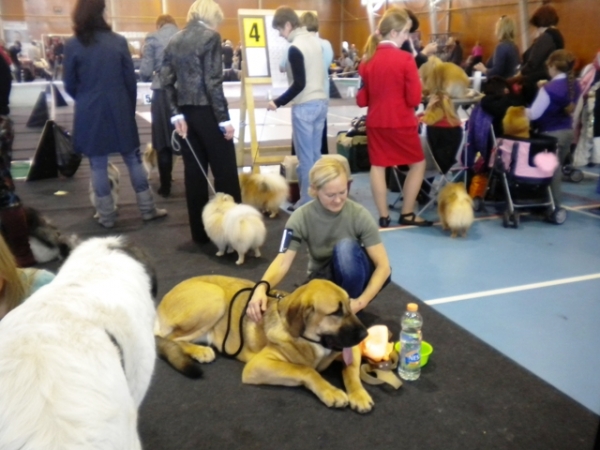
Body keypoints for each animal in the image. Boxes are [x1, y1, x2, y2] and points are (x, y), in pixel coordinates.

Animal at [154, 272, 376, 414]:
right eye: (336, 312)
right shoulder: (258, 365)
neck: (311, 342)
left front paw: (359, 394)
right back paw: (199, 351)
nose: (365, 334)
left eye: (350, 304)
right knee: (169, 338)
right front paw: (331, 391)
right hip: (214, 298)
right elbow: (306, 370)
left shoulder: (351, 351)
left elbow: (351, 371)